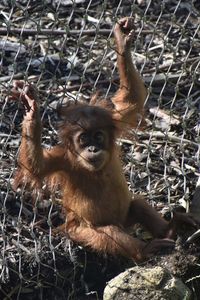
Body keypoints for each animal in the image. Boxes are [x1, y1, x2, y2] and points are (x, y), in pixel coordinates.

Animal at [10, 17, 196, 262]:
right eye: (83, 139)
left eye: (98, 136)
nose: (92, 148)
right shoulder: (64, 159)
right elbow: (36, 167)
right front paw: (31, 110)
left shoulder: (115, 121)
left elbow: (132, 99)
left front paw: (122, 41)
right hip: (79, 231)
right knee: (108, 233)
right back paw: (145, 249)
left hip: (126, 216)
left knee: (137, 204)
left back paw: (170, 230)